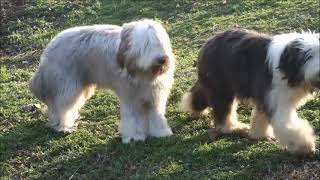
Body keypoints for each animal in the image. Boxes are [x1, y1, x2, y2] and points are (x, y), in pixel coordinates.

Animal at [28, 19, 175, 143]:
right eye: (146, 45)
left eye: (160, 43)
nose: (162, 59)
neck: (143, 74)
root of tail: (49, 47)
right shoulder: (130, 98)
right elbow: (133, 119)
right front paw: (134, 136)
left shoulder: (155, 96)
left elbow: (156, 116)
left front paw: (160, 132)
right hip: (68, 86)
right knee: (61, 106)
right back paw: (64, 126)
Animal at [181, 29, 318, 155]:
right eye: (308, 56)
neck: (287, 67)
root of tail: (208, 42)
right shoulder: (275, 98)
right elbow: (286, 124)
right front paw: (305, 146)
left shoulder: (266, 97)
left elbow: (260, 116)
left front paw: (259, 134)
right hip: (221, 89)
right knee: (223, 116)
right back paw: (234, 128)